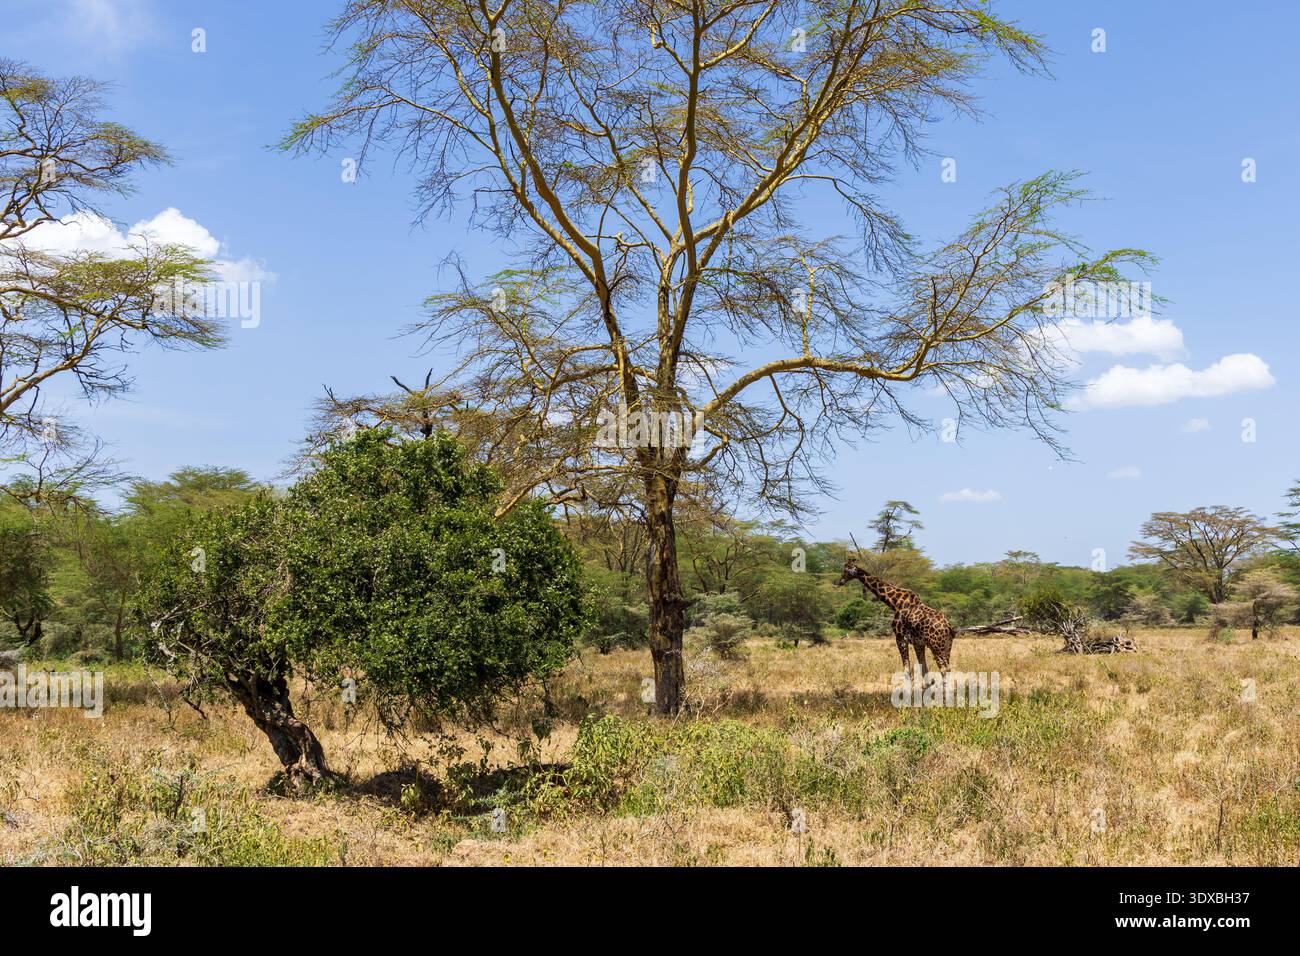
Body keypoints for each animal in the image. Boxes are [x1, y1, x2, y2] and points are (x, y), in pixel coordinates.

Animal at [836, 557, 955, 689]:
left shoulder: (900, 638)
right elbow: (923, 667)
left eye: (846, 569)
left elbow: (907, 668)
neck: (895, 602)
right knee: (947, 668)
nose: (840, 581)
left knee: (944, 669)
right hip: (947, 645)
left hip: (936, 646)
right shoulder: (918, 642)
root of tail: (948, 626)